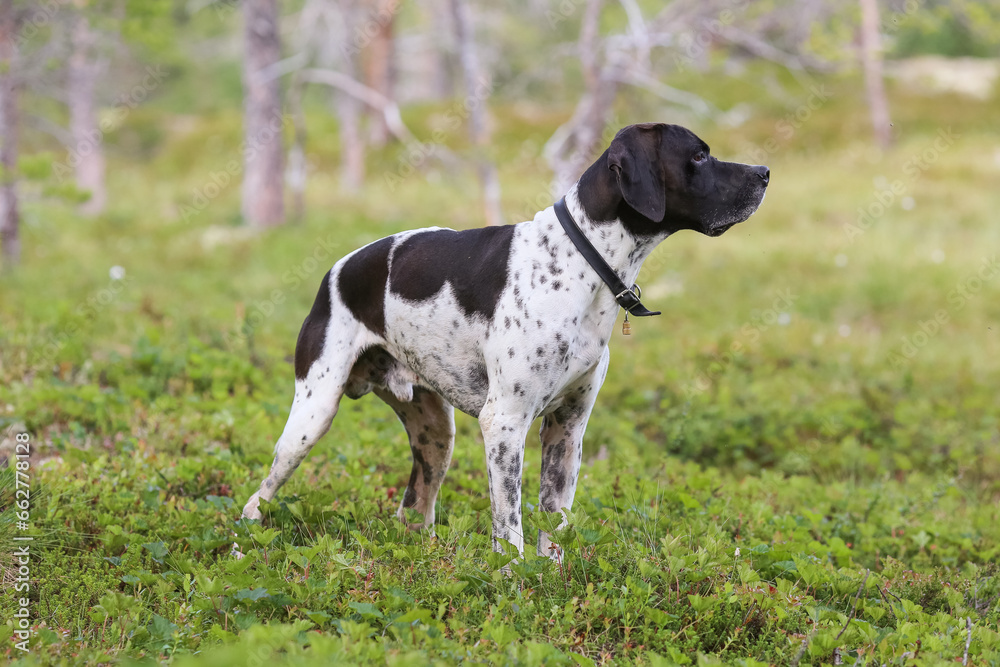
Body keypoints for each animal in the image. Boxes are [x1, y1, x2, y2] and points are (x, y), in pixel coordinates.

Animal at [238, 121, 768, 560]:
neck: (581, 260)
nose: (765, 172)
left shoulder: (567, 429)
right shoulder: (505, 423)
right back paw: (246, 543)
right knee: (257, 498)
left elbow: (554, 523)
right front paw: (513, 584)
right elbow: (509, 524)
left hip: (436, 436)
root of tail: (337, 268)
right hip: (310, 419)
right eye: (698, 156)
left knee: (413, 511)